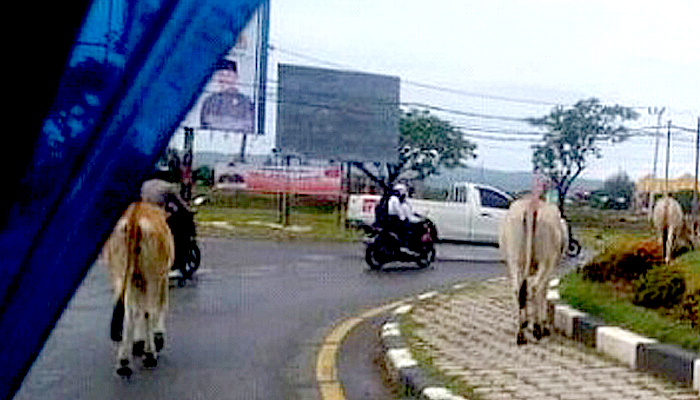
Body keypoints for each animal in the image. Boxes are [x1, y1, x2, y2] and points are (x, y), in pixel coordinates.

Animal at [103, 202, 175, 376]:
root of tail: (134, 217)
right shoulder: (162, 277)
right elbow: (160, 306)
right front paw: (157, 337)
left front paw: (137, 343)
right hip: (152, 276)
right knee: (148, 311)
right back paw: (149, 355)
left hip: (121, 274)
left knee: (128, 313)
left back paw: (124, 361)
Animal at [498, 195, 568, 346]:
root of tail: (531, 206)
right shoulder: (550, 267)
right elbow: (543, 292)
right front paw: (544, 325)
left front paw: (526, 322)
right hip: (545, 260)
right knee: (535, 287)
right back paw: (536, 329)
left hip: (514, 260)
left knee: (518, 290)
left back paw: (521, 333)